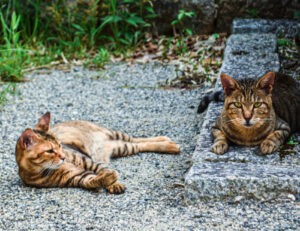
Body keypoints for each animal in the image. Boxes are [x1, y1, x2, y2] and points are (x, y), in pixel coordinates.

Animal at [15, 112, 180, 193]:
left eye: (60, 145)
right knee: (138, 144)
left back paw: (168, 143)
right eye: (49, 150)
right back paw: (169, 144)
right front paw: (109, 180)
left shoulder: (88, 161)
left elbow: (101, 169)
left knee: (137, 139)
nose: (63, 156)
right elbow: (93, 180)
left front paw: (114, 183)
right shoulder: (77, 177)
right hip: (121, 147)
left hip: (115, 135)